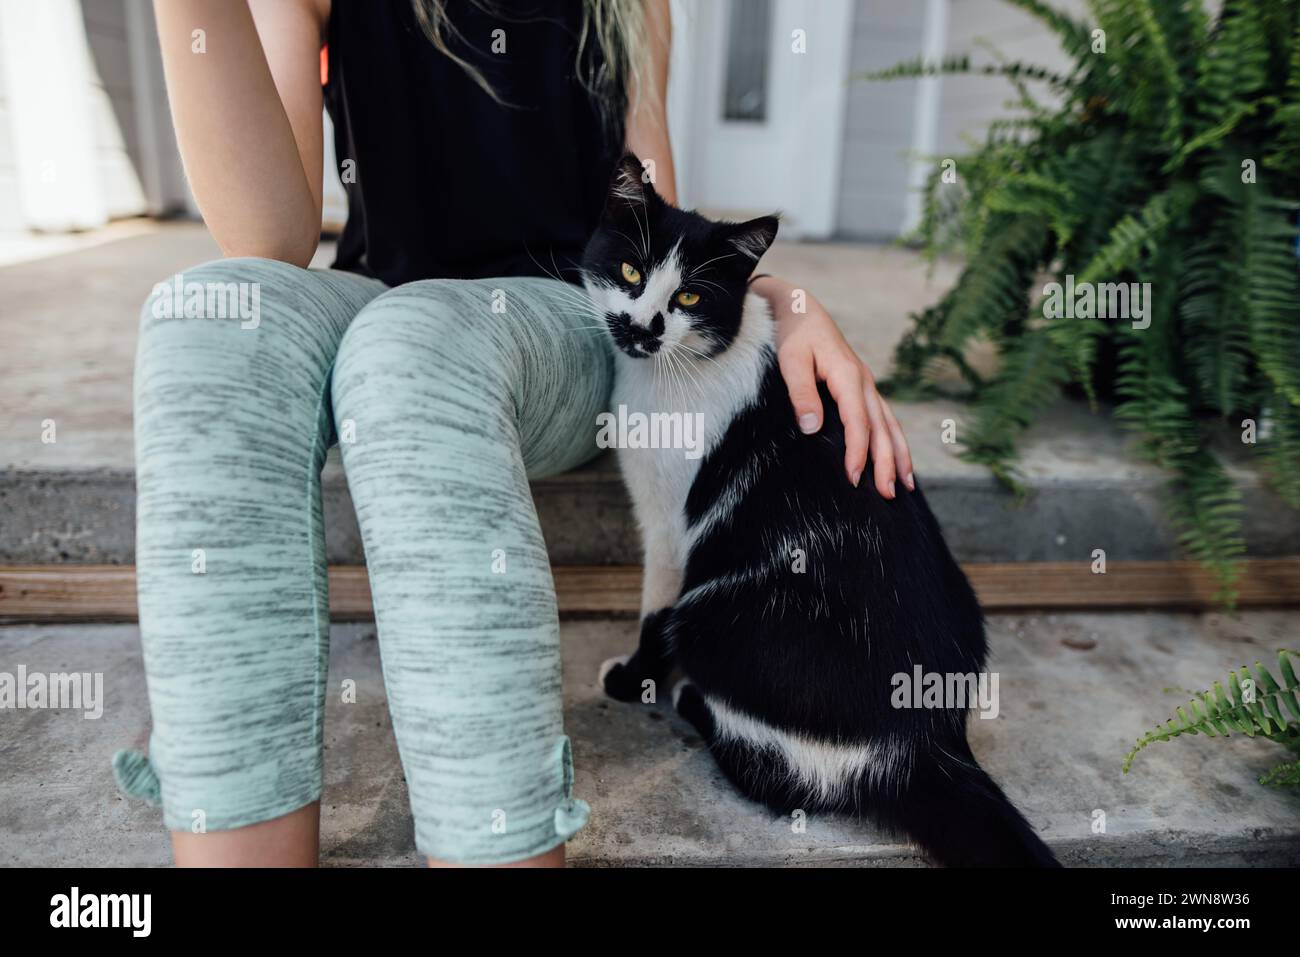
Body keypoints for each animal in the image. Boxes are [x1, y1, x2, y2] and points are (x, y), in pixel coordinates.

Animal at [579, 155, 1055, 868]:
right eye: (632, 272)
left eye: (689, 298)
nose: (644, 327)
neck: (679, 372)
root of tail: (926, 744)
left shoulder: (670, 529)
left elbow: (654, 615)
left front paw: (634, 680)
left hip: (716, 615)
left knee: (782, 778)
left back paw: (696, 701)